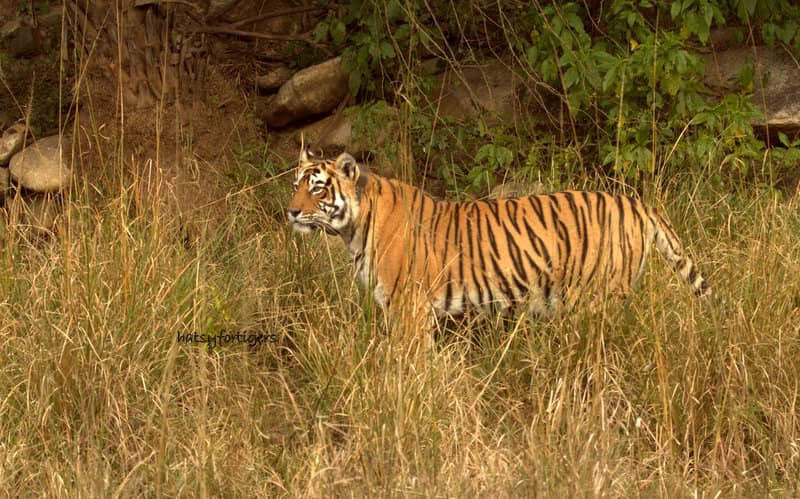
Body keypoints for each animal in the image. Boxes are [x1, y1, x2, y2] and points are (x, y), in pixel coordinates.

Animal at [287, 147, 711, 335]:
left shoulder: (409, 306)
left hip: (595, 300)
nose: (290, 212)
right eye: (295, 186)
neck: (353, 227)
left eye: (318, 189)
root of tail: (638, 202)